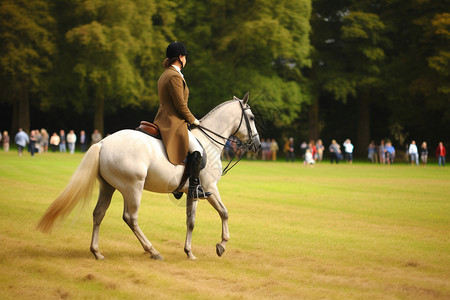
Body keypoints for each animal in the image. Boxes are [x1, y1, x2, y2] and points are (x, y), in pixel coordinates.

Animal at [35, 93, 260, 260]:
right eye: (251, 118)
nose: (257, 145)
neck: (208, 141)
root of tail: (103, 143)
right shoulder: (210, 187)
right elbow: (224, 213)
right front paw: (221, 245)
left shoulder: (192, 192)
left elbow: (191, 221)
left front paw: (189, 252)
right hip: (133, 187)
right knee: (130, 218)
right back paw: (152, 250)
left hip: (108, 186)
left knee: (98, 214)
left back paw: (97, 252)